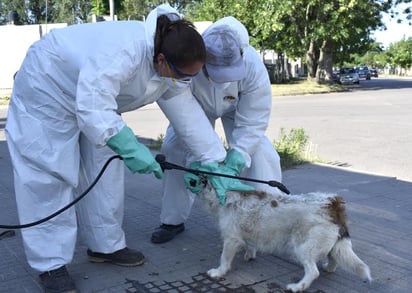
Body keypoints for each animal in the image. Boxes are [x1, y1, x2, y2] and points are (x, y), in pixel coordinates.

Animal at [198, 181, 372, 290]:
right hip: (331, 245)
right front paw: (249, 254)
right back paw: (328, 268)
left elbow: (224, 259)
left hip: (303, 248)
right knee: (333, 259)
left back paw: (298, 287)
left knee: (312, 271)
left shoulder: (230, 239)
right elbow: (250, 244)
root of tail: (332, 204)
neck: (229, 194)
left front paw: (218, 272)